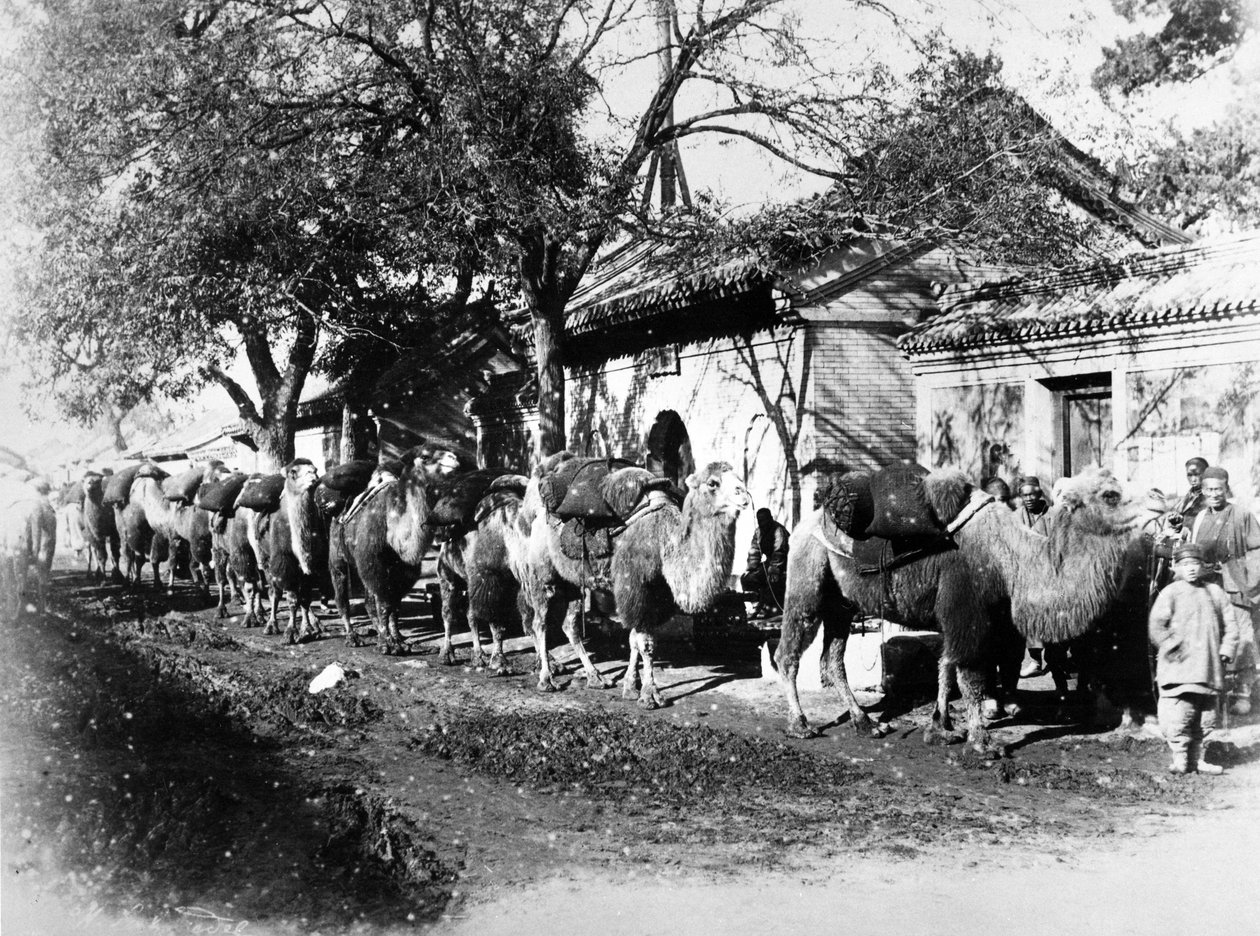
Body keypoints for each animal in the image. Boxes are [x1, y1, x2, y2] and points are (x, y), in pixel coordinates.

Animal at [327, 445, 461, 650]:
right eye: (425, 456)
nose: (453, 458)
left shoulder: (405, 570)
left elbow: (394, 604)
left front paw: (397, 638)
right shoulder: (372, 563)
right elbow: (384, 603)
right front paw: (387, 644)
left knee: (368, 600)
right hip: (337, 555)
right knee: (341, 595)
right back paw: (353, 637)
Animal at [521, 458, 745, 705]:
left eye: (740, 478)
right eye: (713, 483)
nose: (744, 495)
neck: (664, 542)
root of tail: (537, 515)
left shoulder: (654, 597)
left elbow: (634, 639)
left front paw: (631, 686)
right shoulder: (636, 588)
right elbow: (646, 643)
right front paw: (650, 695)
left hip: (572, 582)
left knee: (570, 625)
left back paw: (596, 678)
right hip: (543, 574)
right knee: (539, 622)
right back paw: (546, 680)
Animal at [771, 466, 1149, 755]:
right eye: (1110, 495)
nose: (1158, 498)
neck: (1011, 559)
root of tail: (804, 523)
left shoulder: (965, 615)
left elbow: (946, 666)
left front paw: (942, 727)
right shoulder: (967, 607)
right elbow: (970, 676)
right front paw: (983, 743)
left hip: (841, 603)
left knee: (832, 659)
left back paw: (866, 724)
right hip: (808, 576)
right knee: (787, 652)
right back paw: (800, 724)